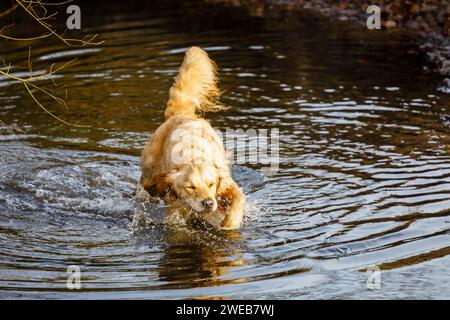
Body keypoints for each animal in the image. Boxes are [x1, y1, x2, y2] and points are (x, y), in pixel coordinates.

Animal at [140, 45, 246, 230]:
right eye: (190, 187)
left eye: (211, 184)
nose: (208, 203)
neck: (195, 154)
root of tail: (181, 114)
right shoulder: (175, 201)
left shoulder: (227, 182)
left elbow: (238, 199)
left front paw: (229, 223)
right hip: (149, 170)